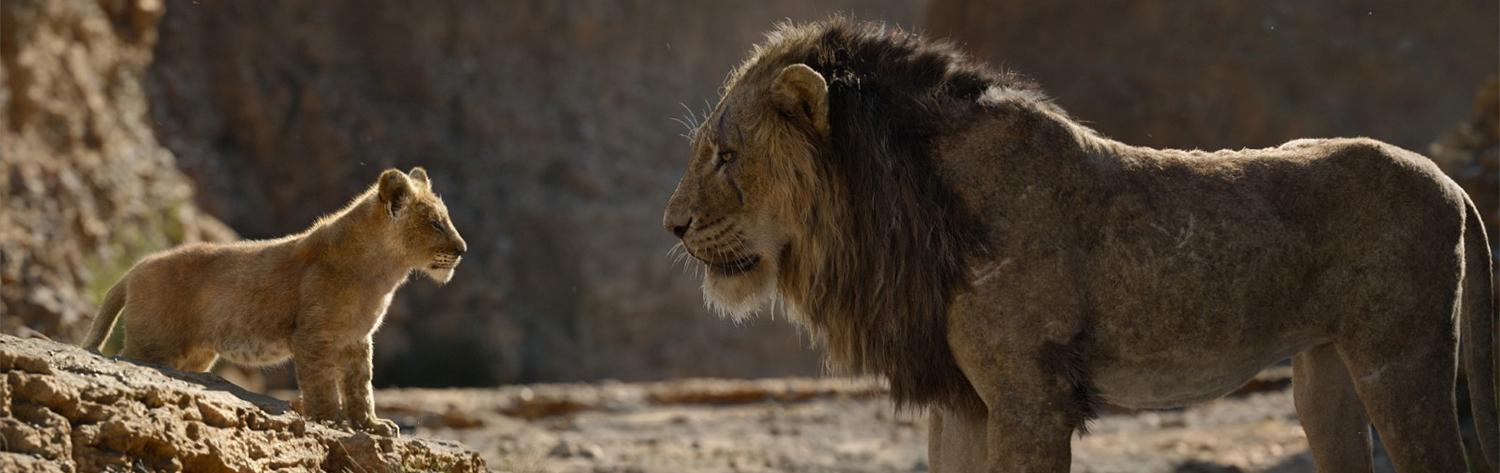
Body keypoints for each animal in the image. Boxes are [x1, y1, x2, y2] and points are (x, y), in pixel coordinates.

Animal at [83, 168, 466, 435]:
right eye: (435, 223)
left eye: (445, 219)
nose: (463, 250)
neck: (383, 272)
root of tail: (134, 269)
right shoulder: (312, 335)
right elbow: (322, 384)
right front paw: (330, 420)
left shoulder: (357, 339)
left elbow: (361, 385)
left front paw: (371, 425)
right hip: (152, 345)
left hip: (194, 355)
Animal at [663, 19, 1496, 472]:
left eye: (727, 156)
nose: (671, 224)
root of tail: (1451, 182)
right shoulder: (964, 399)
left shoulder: (1030, 399)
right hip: (1325, 375)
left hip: (1401, 359)